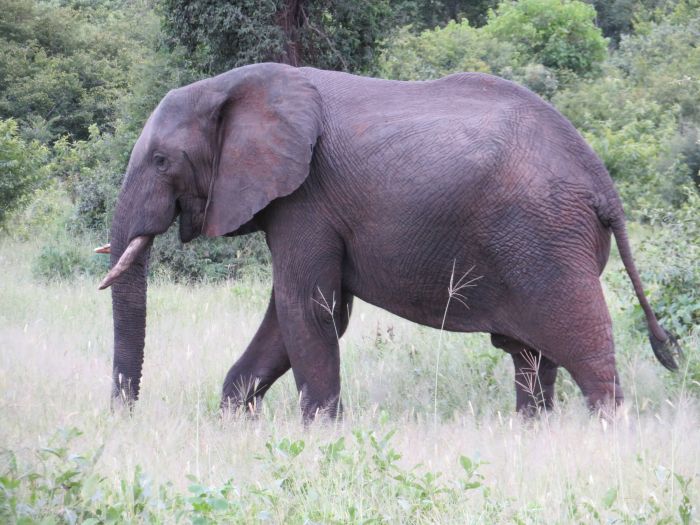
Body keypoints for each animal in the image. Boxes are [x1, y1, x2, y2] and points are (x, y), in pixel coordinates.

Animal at [97, 61, 680, 420]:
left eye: (161, 161)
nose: (124, 417)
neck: (231, 86)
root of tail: (603, 182)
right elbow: (298, 316)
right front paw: (235, 419)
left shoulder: (306, 198)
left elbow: (307, 308)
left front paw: (319, 436)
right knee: (531, 359)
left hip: (547, 238)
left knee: (583, 349)